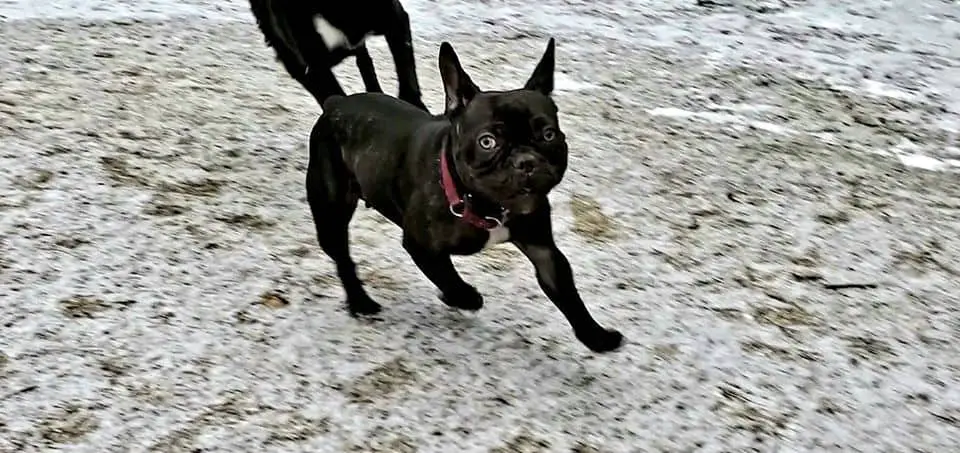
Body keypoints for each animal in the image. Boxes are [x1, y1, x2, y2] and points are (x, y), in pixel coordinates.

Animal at [304, 38, 628, 352]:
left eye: (548, 135)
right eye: (488, 141)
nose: (526, 161)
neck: (488, 205)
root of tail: (336, 103)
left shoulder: (543, 249)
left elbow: (567, 293)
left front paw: (595, 336)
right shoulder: (421, 246)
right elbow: (446, 275)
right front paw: (464, 297)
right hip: (330, 211)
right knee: (342, 256)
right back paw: (360, 302)